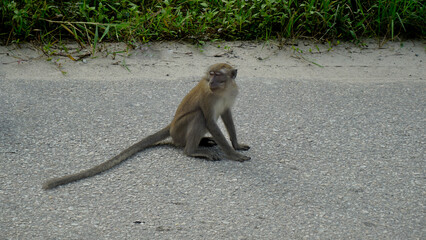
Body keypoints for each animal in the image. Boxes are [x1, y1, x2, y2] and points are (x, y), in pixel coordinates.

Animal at [42, 63, 250, 189]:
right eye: (211, 75)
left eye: (219, 75)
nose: (212, 81)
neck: (222, 90)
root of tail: (171, 125)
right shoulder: (208, 96)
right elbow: (210, 121)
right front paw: (233, 154)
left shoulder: (230, 94)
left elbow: (227, 115)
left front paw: (236, 145)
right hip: (180, 129)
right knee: (198, 117)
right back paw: (193, 150)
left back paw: (203, 142)